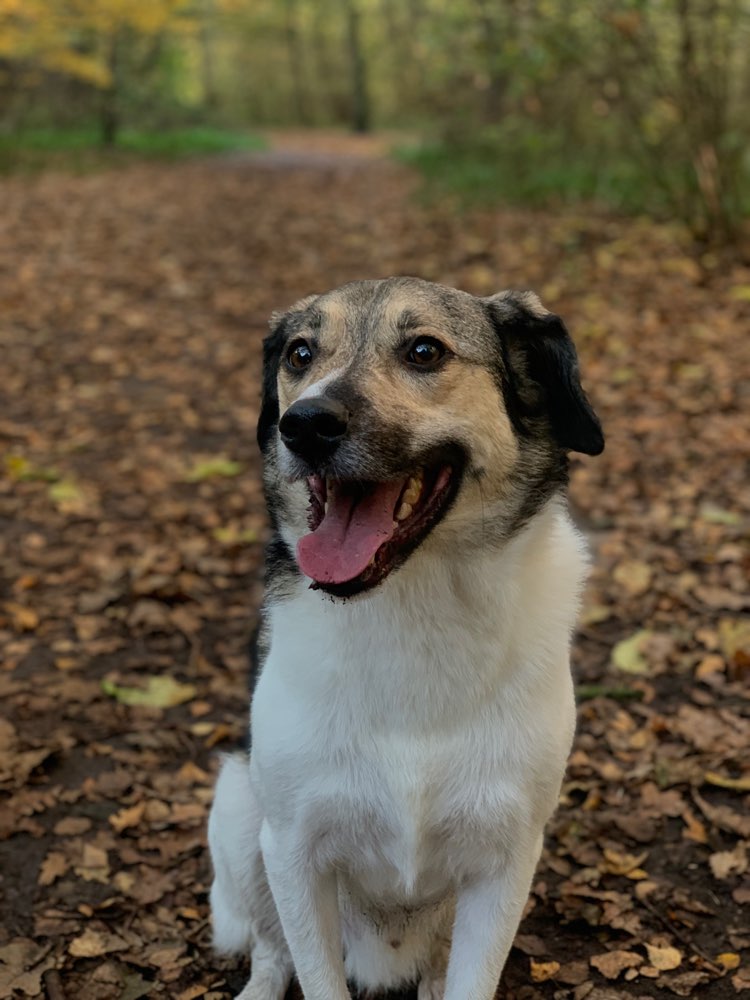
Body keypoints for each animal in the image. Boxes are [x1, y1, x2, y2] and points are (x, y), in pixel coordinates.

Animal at [209, 276, 608, 1000]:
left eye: (424, 351)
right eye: (301, 354)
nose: (303, 424)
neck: (410, 604)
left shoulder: (505, 860)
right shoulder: (294, 851)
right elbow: (313, 975)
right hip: (238, 814)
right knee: (271, 947)